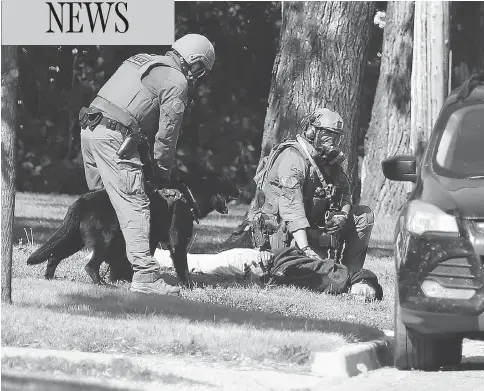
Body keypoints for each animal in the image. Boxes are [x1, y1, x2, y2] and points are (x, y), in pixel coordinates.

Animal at [25, 162, 241, 288]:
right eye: (225, 182)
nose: (240, 191)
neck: (188, 195)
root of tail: (81, 201)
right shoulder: (177, 245)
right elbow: (183, 268)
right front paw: (189, 287)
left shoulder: (151, 240)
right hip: (104, 241)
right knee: (90, 265)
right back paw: (102, 284)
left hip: (74, 240)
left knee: (54, 256)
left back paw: (49, 278)